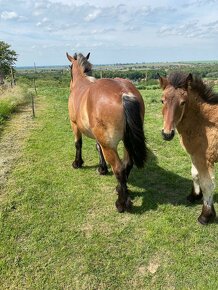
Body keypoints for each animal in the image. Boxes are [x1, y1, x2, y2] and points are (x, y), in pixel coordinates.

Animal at [66, 51, 148, 211]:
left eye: (69, 67)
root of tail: (124, 93)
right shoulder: (99, 136)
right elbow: (98, 147)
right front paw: (102, 168)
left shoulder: (74, 125)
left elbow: (78, 144)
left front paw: (78, 163)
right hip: (126, 141)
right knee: (127, 163)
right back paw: (121, 189)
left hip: (110, 145)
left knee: (119, 168)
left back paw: (121, 203)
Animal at [158, 72, 218, 224]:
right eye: (162, 101)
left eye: (183, 102)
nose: (167, 134)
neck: (204, 124)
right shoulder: (194, 155)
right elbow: (195, 174)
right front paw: (194, 196)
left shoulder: (204, 159)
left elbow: (207, 184)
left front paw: (206, 215)